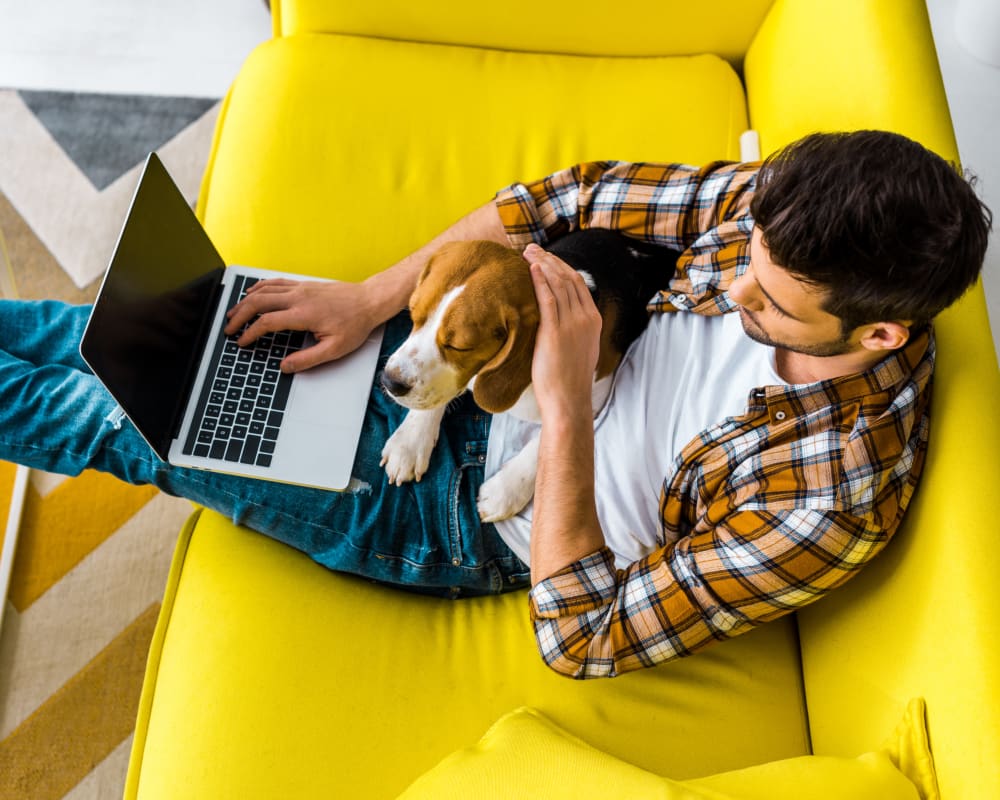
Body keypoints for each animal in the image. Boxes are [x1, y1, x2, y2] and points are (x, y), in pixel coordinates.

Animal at [380, 228, 680, 520]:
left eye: (459, 346)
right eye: (413, 315)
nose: (389, 381)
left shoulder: (595, 394)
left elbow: (543, 440)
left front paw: (505, 490)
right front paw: (410, 440)